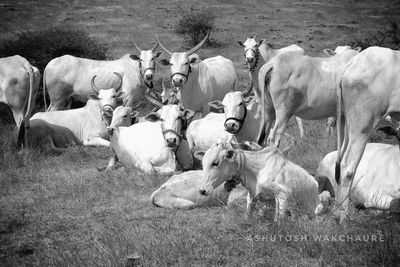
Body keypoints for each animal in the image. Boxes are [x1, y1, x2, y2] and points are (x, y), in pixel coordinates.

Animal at [195, 139, 324, 221]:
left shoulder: (283, 193)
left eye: (215, 163)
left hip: (318, 209)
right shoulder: (252, 195)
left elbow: (278, 219)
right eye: (203, 163)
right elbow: (248, 214)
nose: (202, 191)